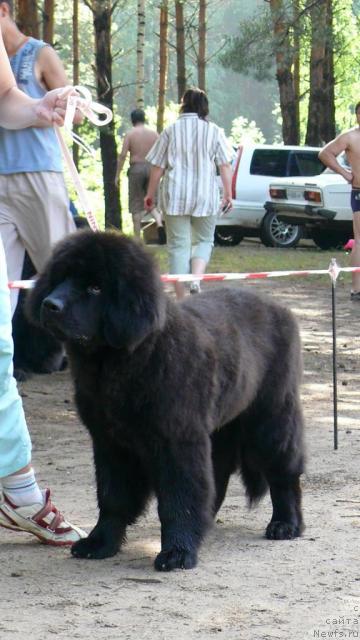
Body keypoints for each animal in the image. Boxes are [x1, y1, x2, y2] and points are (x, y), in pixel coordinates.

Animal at [26, 230, 306, 568]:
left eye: (95, 287)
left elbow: (178, 499)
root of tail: (279, 309)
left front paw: (177, 551)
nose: (49, 304)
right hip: (221, 425)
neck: (121, 363)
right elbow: (113, 497)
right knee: (217, 477)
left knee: (282, 472)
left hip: (271, 415)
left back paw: (286, 524)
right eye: (60, 278)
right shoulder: (110, 443)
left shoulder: (176, 439)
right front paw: (100, 542)